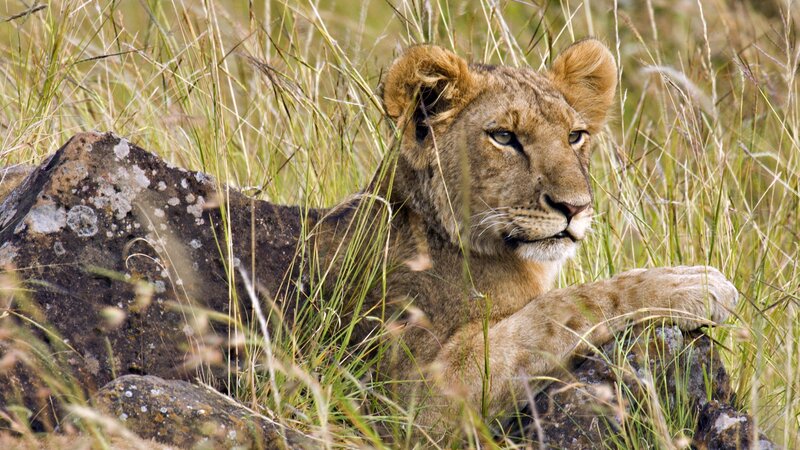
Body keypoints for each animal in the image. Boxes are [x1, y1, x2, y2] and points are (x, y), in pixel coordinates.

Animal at [300, 38, 738, 439]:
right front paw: (691, 283)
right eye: (503, 137)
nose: (574, 207)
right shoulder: (412, 401)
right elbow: (561, 308)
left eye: (575, 136)